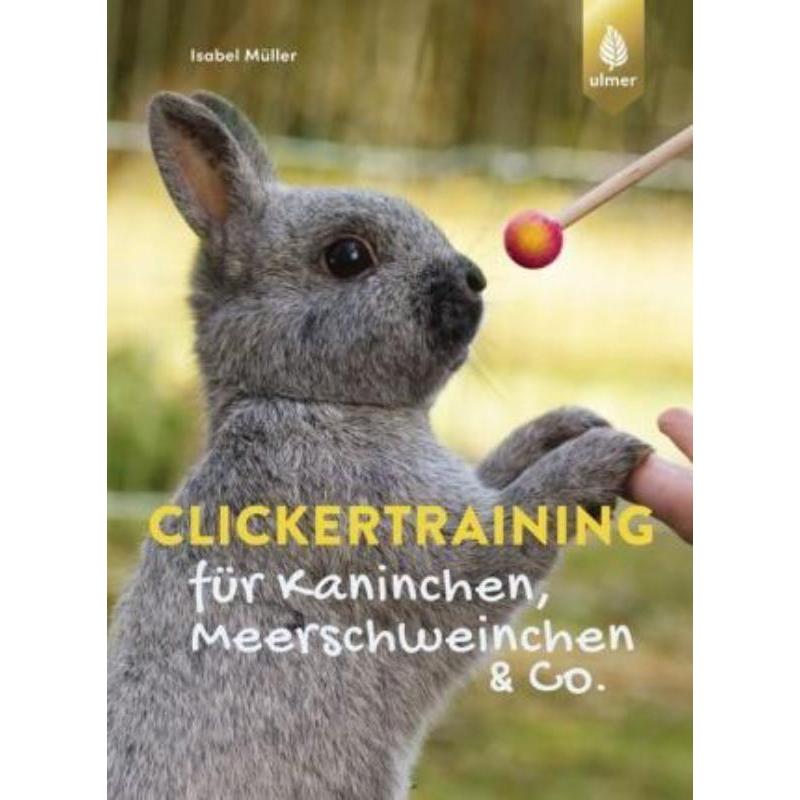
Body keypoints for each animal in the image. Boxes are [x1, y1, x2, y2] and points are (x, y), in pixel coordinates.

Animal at [107, 91, 649, 800]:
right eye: (347, 257)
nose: (473, 278)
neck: (312, 400)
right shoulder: (418, 552)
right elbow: (514, 523)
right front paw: (597, 458)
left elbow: (499, 472)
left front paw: (568, 426)